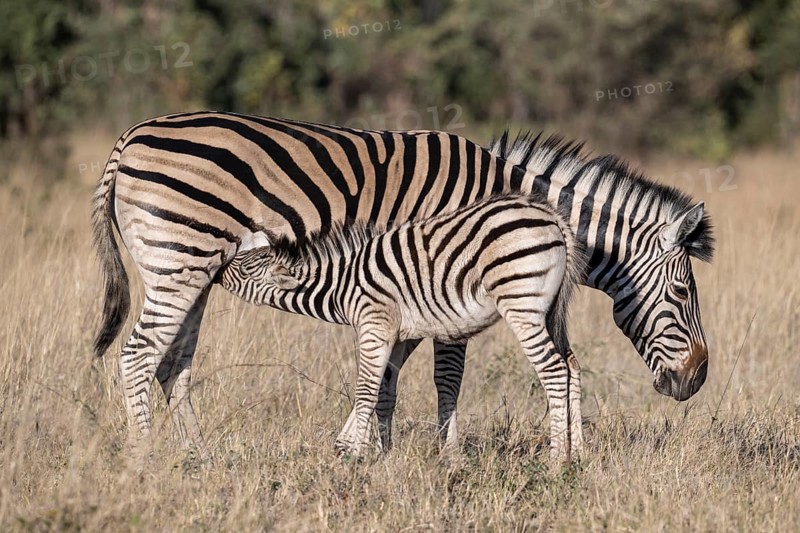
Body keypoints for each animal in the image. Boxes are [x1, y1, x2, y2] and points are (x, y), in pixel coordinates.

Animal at [219, 193, 585, 462]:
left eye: (244, 269)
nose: (219, 268)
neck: (342, 284)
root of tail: (553, 217)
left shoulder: (374, 325)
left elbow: (365, 390)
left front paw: (353, 453)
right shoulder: (394, 337)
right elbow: (384, 393)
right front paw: (381, 452)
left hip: (521, 303)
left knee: (553, 370)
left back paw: (556, 460)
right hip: (549, 310)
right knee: (571, 366)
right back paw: (578, 453)